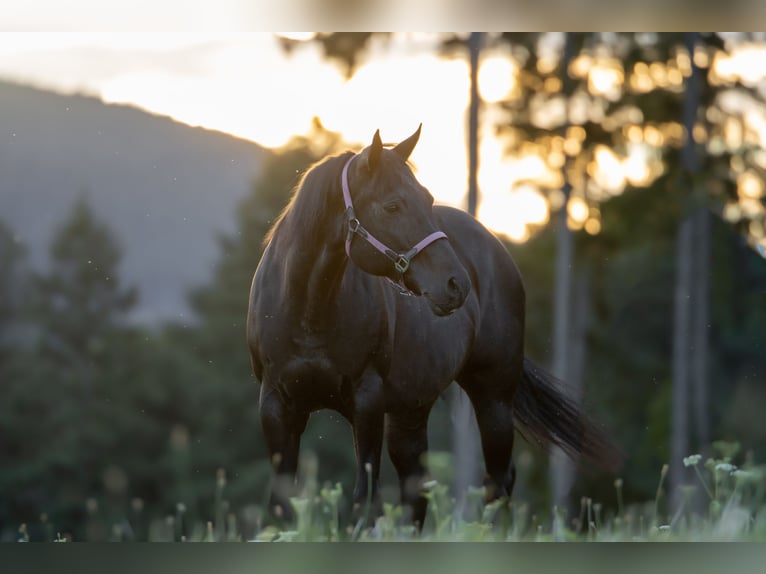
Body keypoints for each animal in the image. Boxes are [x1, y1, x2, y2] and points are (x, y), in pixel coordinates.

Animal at [249, 127, 620, 532]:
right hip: (409, 415)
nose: (456, 284)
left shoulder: (366, 402)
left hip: (493, 397)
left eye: (426, 198)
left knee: (498, 481)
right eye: (392, 205)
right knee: (419, 491)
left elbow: (365, 501)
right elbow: (282, 506)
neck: (309, 310)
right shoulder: (277, 407)